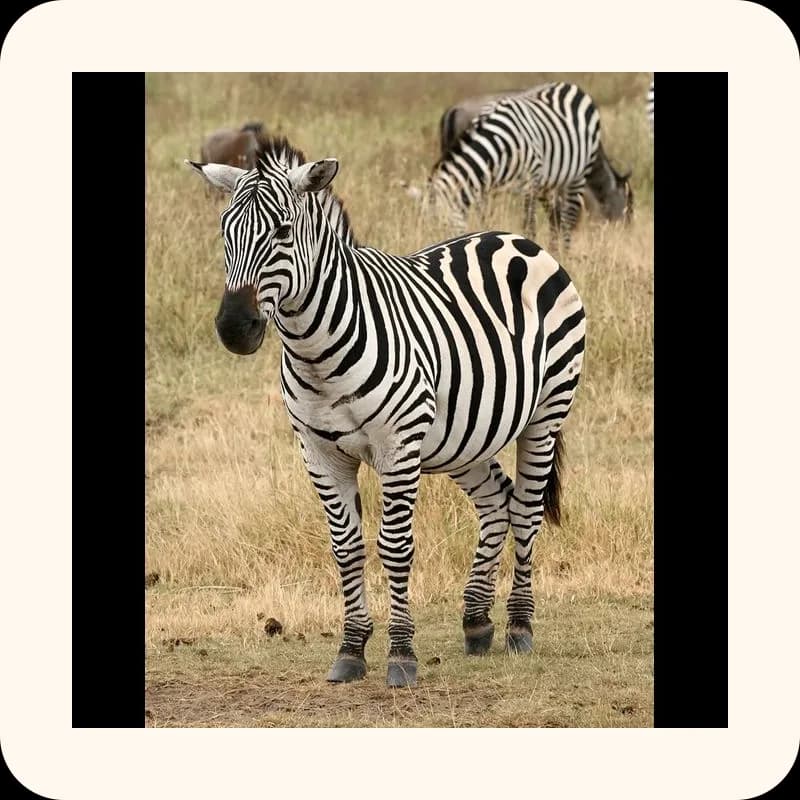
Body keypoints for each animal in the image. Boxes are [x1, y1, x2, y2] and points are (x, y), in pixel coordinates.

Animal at [185, 135, 586, 688]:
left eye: (283, 232)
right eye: (225, 233)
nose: (233, 328)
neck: (316, 352)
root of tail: (517, 239)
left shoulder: (397, 445)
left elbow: (395, 546)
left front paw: (400, 654)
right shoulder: (319, 453)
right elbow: (346, 547)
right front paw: (351, 649)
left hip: (546, 411)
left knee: (525, 509)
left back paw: (520, 626)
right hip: (464, 436)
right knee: (496, 502)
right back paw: (477, 621)